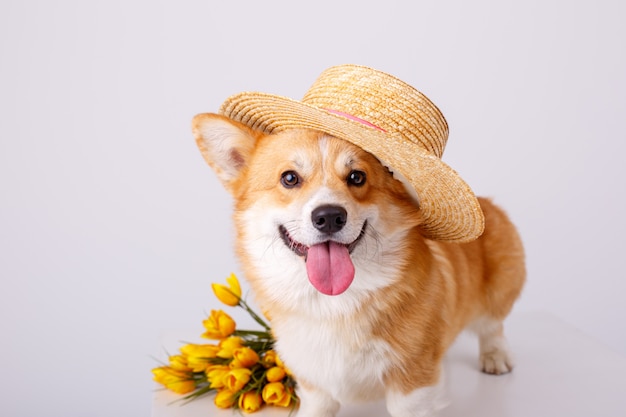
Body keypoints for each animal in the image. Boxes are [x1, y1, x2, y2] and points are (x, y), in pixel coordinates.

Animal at [193, 63, 524, 414]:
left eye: (357, 177)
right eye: (289, 178)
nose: (329, 216)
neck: (331, 304)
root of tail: (487, 203)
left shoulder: (412, 380)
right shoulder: (314, 381)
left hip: (499, 290)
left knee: (492, 325)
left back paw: (496, 356)